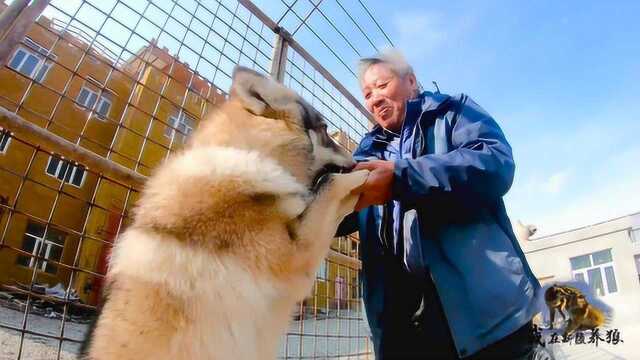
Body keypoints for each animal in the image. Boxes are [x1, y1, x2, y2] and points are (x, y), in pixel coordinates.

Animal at [82, 67, 368, 358]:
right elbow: (333, 184)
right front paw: (366, 175)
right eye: (324, 130)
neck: (251, 153)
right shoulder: (297, 257)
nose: (358, 159)